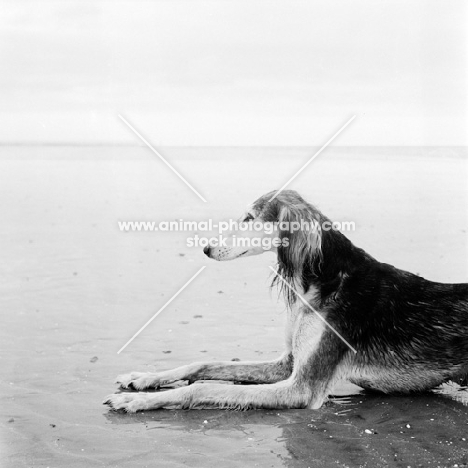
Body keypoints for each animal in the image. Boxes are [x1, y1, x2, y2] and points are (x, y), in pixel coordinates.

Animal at [104, 188, 466, 412]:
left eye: (249, 218)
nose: (206, 248)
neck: (326, 281)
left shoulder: (301, 388)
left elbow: (203, 388)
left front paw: (137, 402)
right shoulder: (289, 362)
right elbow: (202, 365)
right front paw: (144, 378)